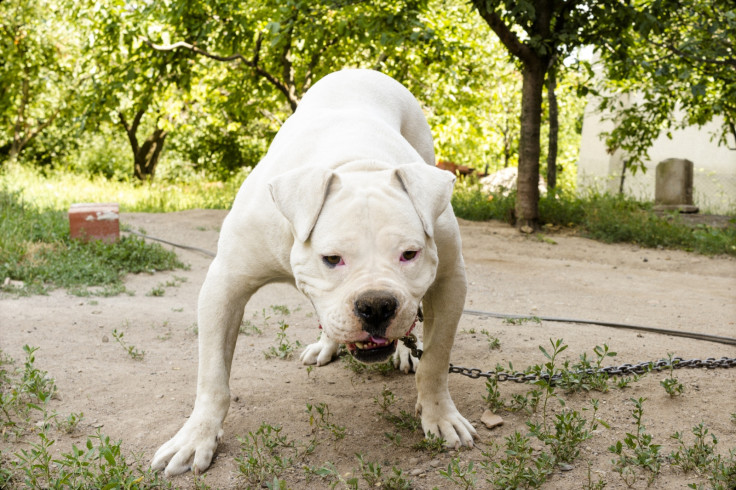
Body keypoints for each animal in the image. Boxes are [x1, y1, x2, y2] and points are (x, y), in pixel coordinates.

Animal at [154, 69, 478, 474]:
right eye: (331, 259)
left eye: (409, 254)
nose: (376, 305)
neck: (356, 164)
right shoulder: (225, 285)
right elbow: (212, 376)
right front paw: (196, 437)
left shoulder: (450, 281)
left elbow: (435, 361)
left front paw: (440, 416)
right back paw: (327, 345)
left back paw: (404, 352)